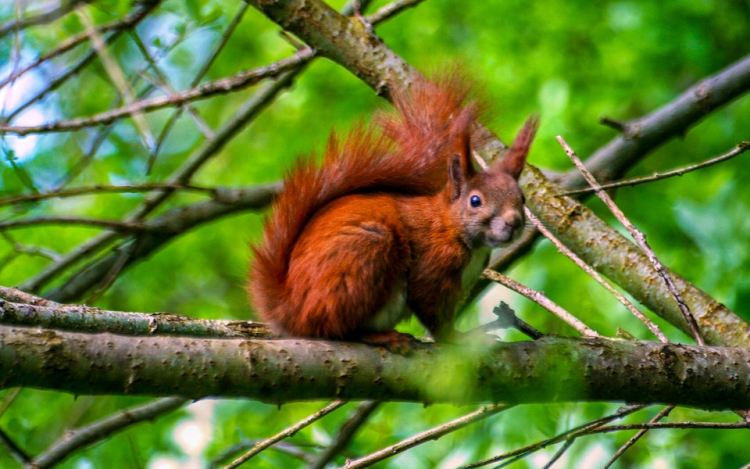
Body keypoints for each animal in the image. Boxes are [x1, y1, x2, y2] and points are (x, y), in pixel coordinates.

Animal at [253, 73, 540, 350]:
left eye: (522, 198)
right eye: (475, 200)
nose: (514, 222)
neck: (450, 226)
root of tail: (290, 309)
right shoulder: (432, 266)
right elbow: (433, 311)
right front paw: (459, 339)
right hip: (364, 253)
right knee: (336, 328)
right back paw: (381, 337)